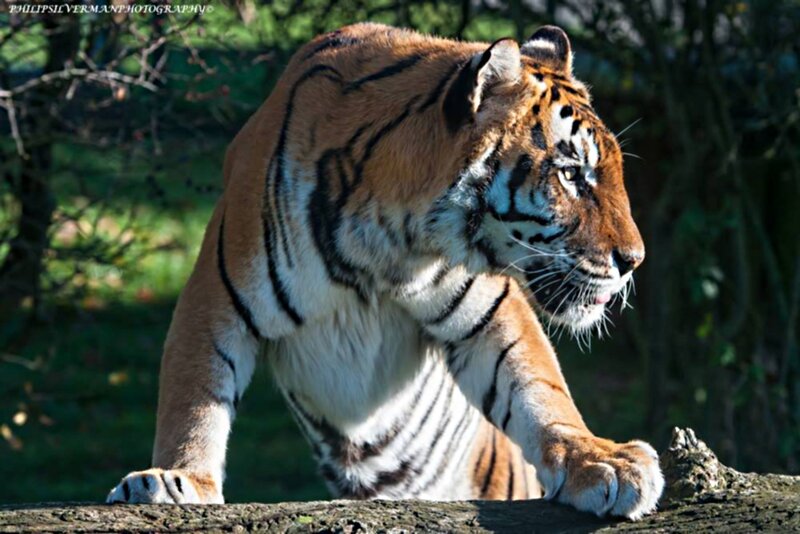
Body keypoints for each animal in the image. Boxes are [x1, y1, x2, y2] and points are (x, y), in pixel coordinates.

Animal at [106, 23, 664, 519]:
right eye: (571, 175)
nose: (634, 260)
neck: (393, 241)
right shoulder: (217, 292)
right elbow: (195, 397)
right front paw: (177, 480)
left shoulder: (491, 308)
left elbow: (540, 388)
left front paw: (601, 461)